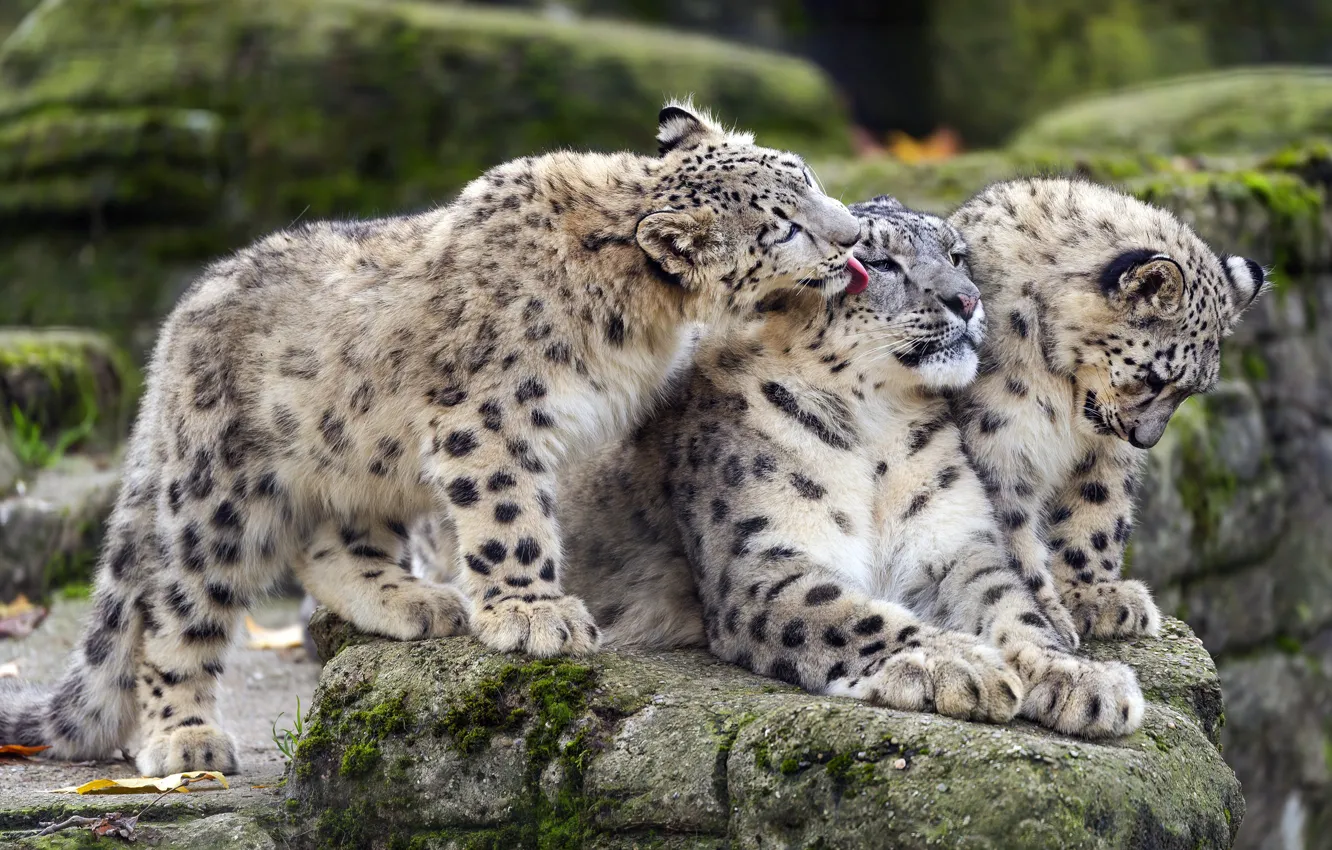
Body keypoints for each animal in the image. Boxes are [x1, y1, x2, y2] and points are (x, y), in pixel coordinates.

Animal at [0, 100, 869, 776]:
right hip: (218, 495)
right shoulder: (492, 417)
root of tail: (175, 328)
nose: (855, 235)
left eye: (806, 175)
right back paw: (186, 739)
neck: (645, 315)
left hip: (358, 462)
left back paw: (416, 600)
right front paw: (534, 613)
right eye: (781, 228)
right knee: (174, 609)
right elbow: (510, 516)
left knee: (330, 546)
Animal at [406, 195, 1147, 737]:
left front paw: (1086, 682)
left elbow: (1016, 610)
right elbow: (855, 616)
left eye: (957, 253)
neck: (879, 433)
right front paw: (955, 662)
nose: (966, 299)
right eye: (877, 262)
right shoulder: (762, 560)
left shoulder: (956, 546)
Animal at [945, 177, 1267, 650]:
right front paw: (1044, 613)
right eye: (1153, 378)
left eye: (1191, 391)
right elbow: (1006, 527)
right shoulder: (995, 441)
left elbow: (1097, 510)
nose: (1145, 439)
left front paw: (1094, 596)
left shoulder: (1106, 456)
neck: (1062, 396)